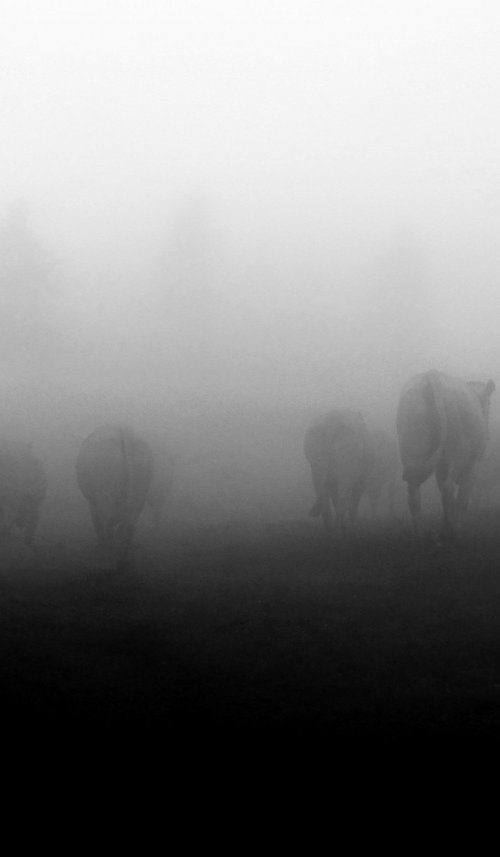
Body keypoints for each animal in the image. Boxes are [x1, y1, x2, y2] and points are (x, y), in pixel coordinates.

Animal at [76, 422, 153, 568]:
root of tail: (125, 433)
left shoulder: (93, 502)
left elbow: (97, 523)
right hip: (140, 488)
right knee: (128, 526)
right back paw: (122, 560)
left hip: (105, 491)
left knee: (110, 526)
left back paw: (109, 558)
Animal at [302, 408, 374, 536]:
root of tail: (331, 425)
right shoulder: (362, 480)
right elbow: (354, 503)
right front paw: (350, 527)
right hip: (347, 459)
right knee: (343, 502)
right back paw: (340, 532)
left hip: (317, 462)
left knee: (325, 502)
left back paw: (331, 532)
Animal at [396, 366, 494, 536]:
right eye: (487, 405)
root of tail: (431, 376)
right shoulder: (474, 462)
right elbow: (463, 496)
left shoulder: (440, 465)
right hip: (458, 450)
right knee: (449, 488)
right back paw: (453, 531)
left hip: (412, 447)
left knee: (414, 490)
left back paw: (418, 533)